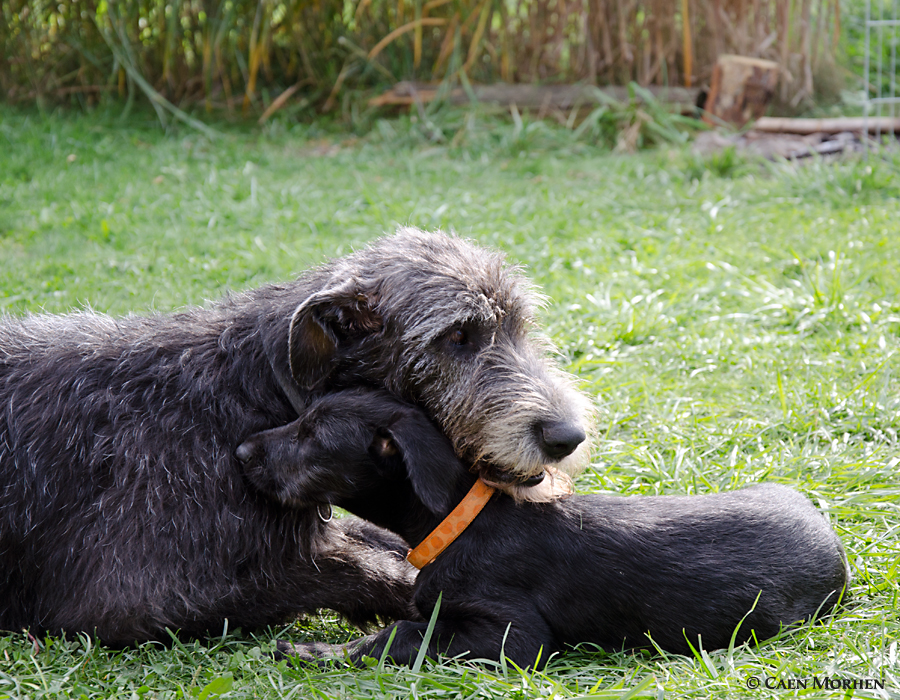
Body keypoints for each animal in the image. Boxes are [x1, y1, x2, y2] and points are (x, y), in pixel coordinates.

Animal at [0, 228, 592, 644]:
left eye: (519, 326)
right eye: (458, 337)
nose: (567, 436)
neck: (251, 392)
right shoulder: (131, 597)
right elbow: (345, 570)